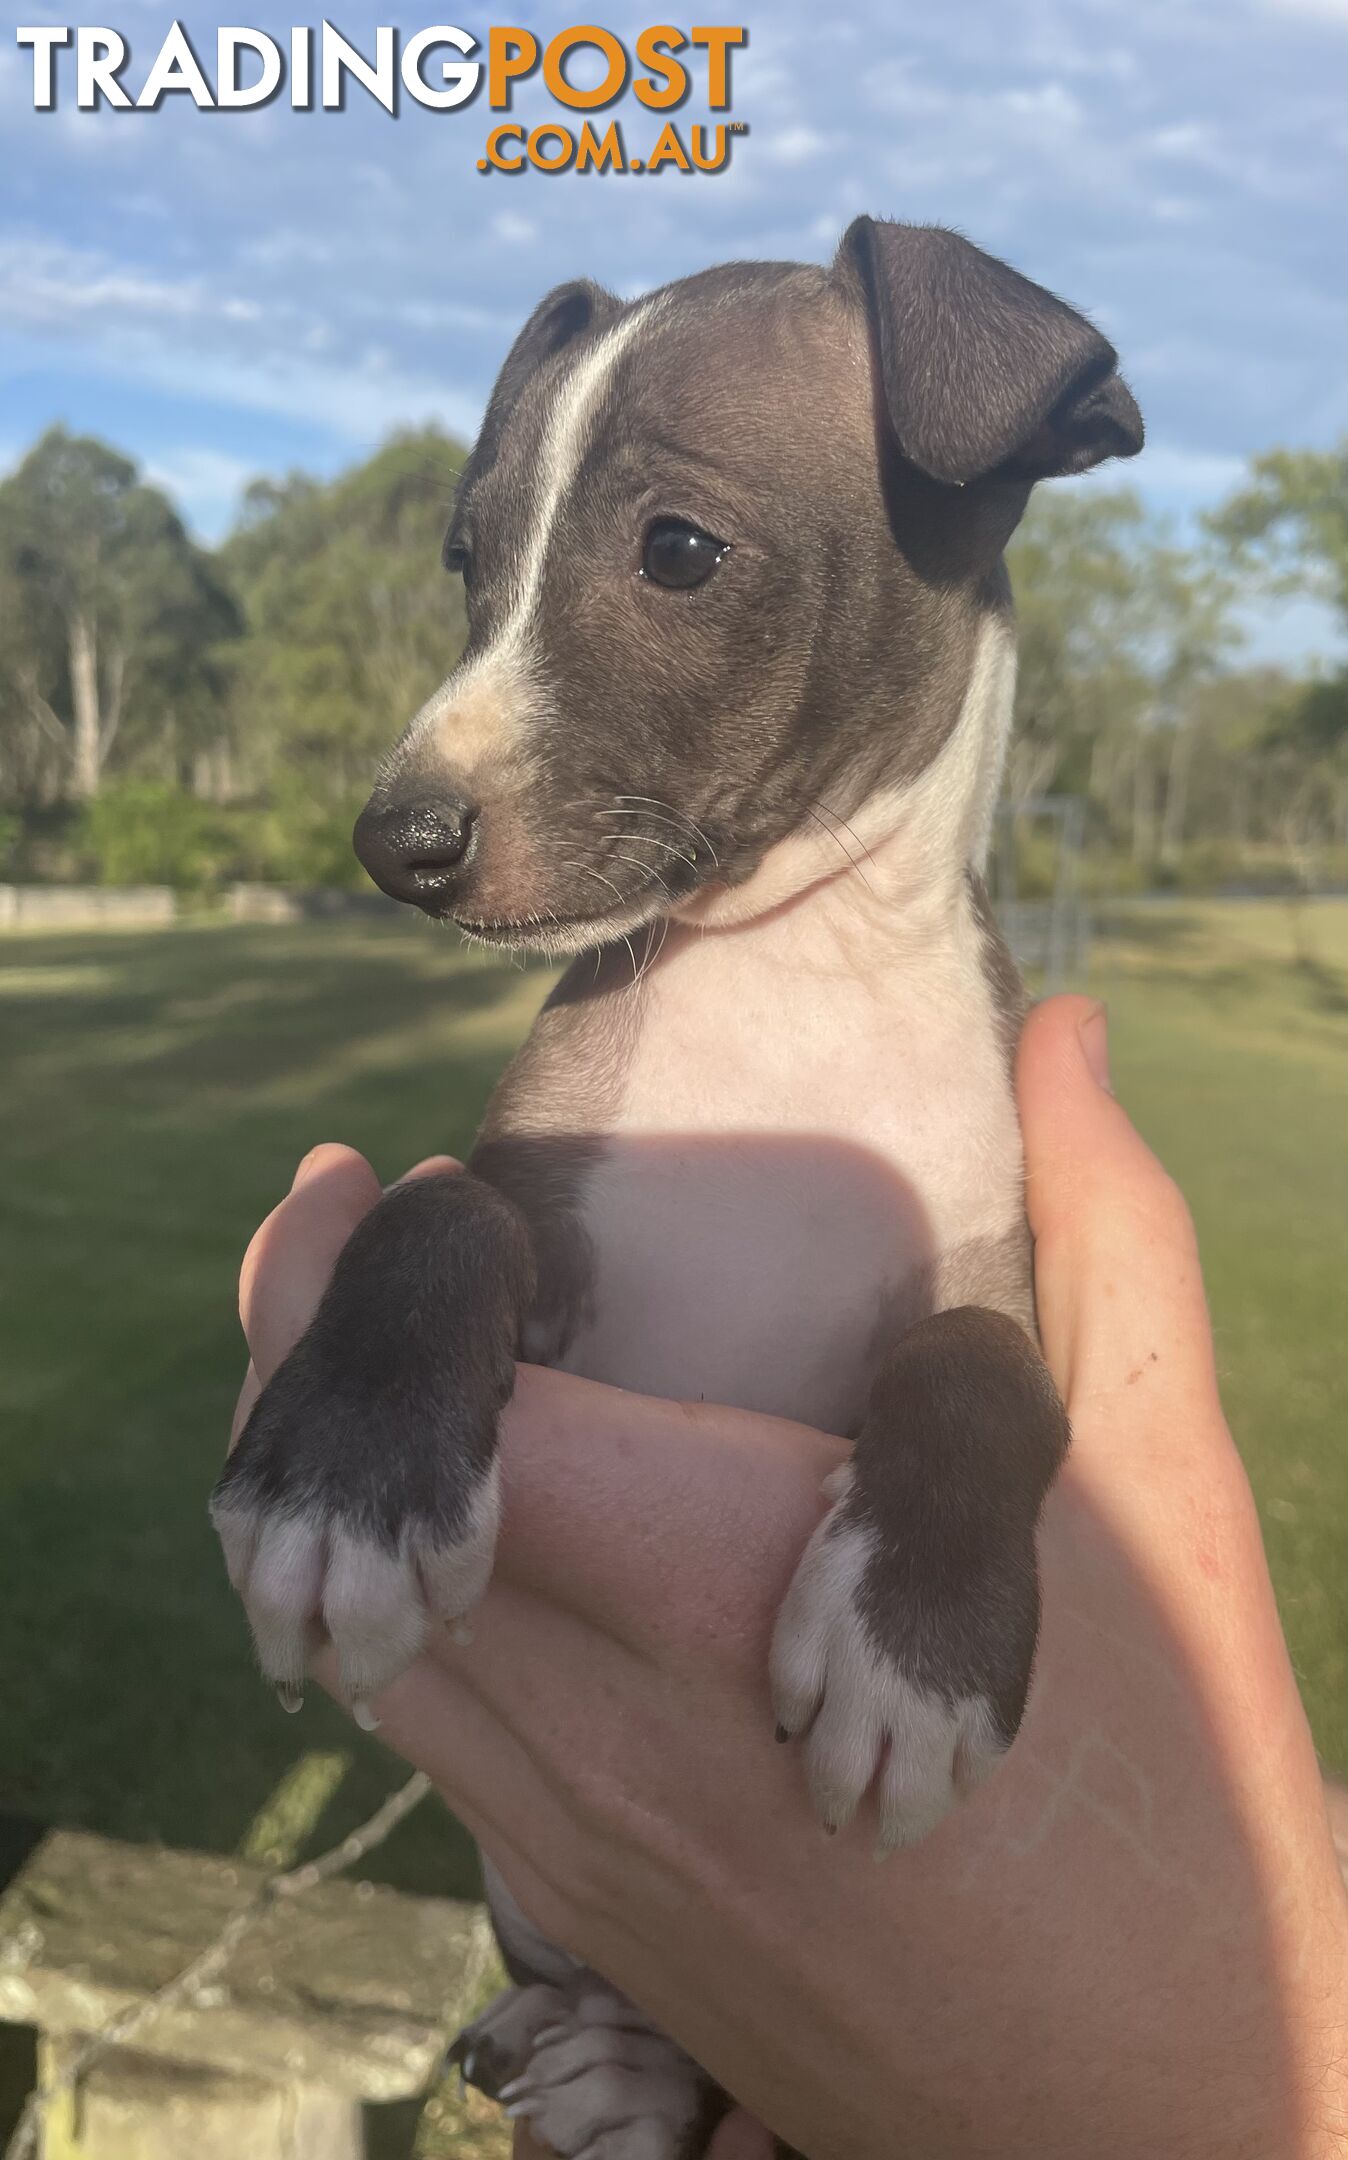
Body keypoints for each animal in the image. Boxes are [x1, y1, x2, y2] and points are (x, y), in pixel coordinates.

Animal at [210, 223, 1140, 2160]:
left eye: (680, 551)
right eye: (467, 563)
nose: (394, 843)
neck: (784, 988)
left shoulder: (988, 1273)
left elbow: (976, 1375)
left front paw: (911, 1646)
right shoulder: (542, 1227)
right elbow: (435, 1210)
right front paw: (344, 1484)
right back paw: (610, 2067)